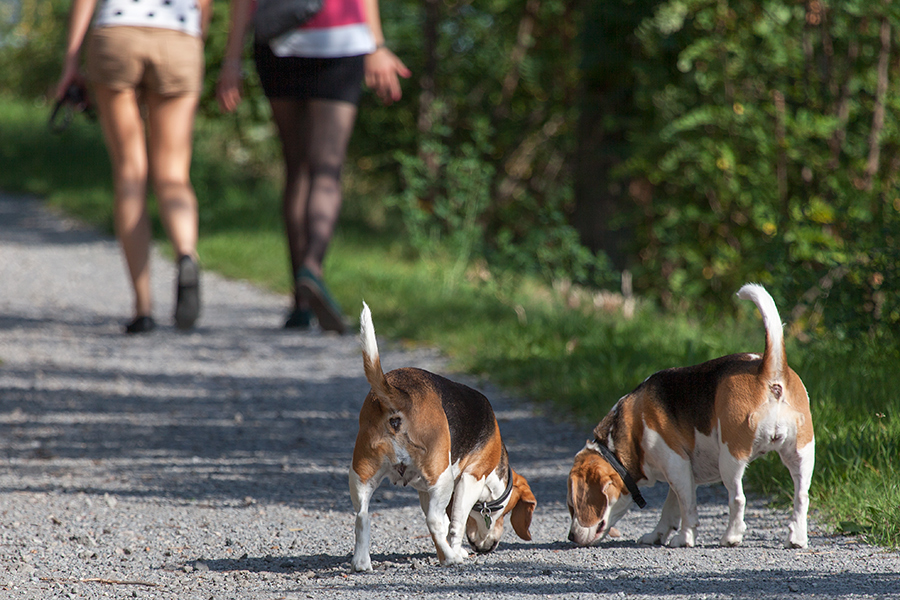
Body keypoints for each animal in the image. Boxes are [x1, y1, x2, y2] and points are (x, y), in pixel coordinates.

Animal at [350, 304, 536, 572]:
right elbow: (455, 523)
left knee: (362, 517)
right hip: (443, 479)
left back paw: (362, 562)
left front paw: (445, 551)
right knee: (435, 521)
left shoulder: (425, 491)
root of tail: (400, 397)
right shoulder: (471, 478)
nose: (488, 548)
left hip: (361, 476)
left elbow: (446, 525)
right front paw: (454, 552)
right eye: (505, 512)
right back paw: (451, 558)